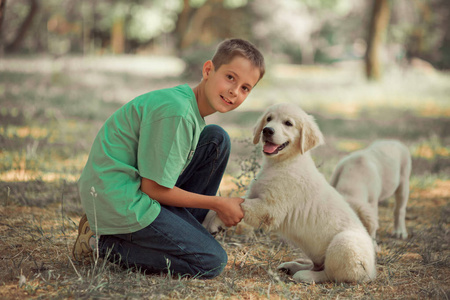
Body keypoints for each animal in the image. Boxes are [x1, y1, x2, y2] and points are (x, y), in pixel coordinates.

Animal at [204, 103, 376, 284]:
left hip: (344, 243)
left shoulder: (269, 209)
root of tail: (372, 272)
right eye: (269, 119)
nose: (267, 130)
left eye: (288, 123)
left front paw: (215, 222)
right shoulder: (254, 195)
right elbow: (232, 203)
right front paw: (212, 222)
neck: (282, 163)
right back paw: (292, 266)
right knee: (317, 265)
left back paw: (305, 275)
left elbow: (240, 205)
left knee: (331, 274)